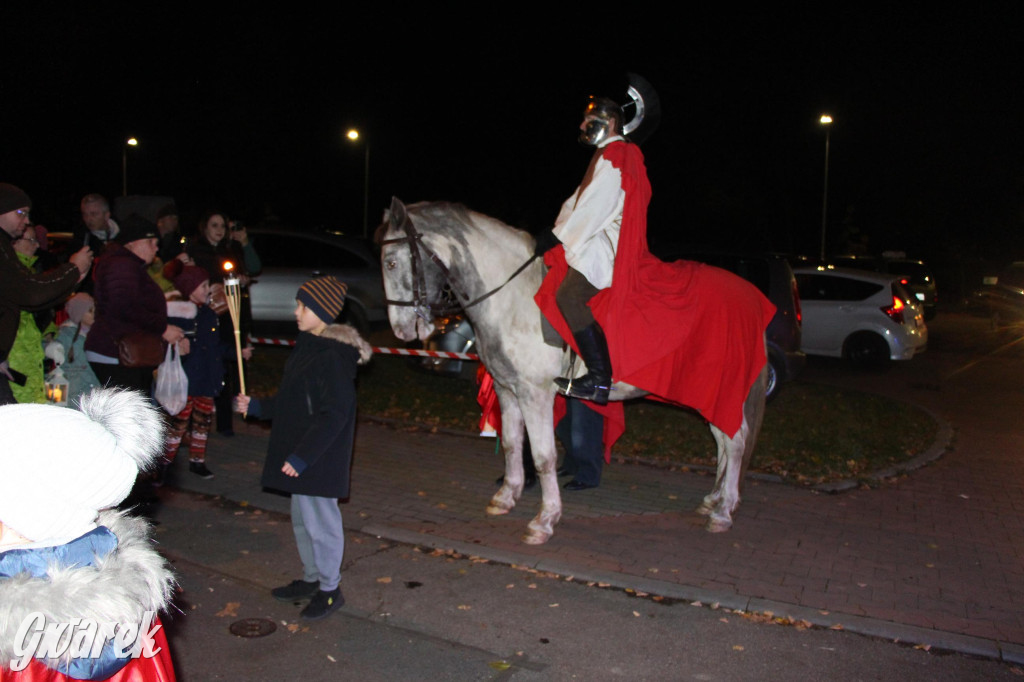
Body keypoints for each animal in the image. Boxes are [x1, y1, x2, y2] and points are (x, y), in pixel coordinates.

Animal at [380, 196, 765, 540]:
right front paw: (506, 497)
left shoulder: (535, 395)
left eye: (391, 263)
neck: (512, 296)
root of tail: (752, 298)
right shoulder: (507, 389)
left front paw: (544, 520)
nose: (401, 330)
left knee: (735, 442)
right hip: (708, 394)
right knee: (723, 440)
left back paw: (724, 512)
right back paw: (714, 500)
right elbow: (512, 443)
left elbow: (543, 456)